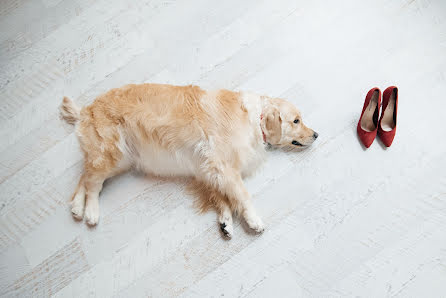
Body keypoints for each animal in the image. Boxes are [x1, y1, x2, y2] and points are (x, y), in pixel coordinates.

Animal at [60, 83, 318, 237]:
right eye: (296, 120)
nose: (316, 134)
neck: (254, 119)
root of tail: (85, 110)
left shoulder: (207, 169)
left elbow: (221, 197)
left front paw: (225, 221)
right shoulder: (223, 166)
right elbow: (243, 196)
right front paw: (253, 220)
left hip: (118, 159)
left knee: (85, 177)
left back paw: (77, 207)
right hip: (112, 153)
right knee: (93, 183)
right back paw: (91, 212)